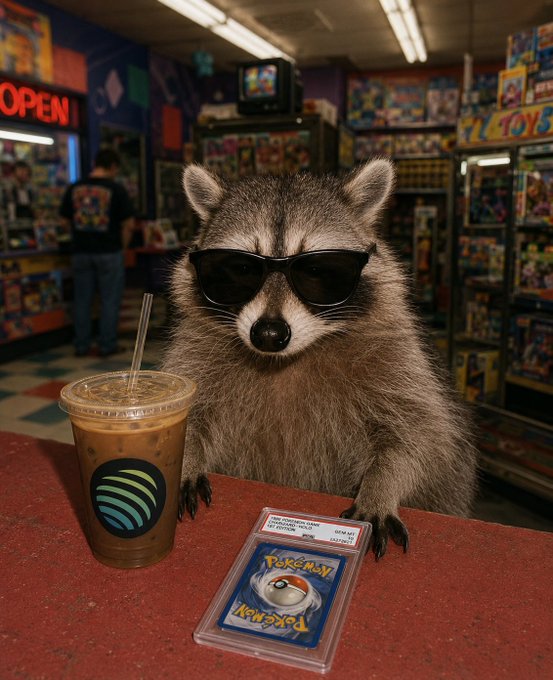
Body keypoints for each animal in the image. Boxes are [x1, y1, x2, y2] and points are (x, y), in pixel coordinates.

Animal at [162, 159, 477, 559]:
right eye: (239, 269)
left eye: (317, 271)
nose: (268, 334)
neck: (285, 361)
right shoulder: (197, 352)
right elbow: (188, 413)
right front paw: (185, 458)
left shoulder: (400, 362)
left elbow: (421, 435)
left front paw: (381, 486)